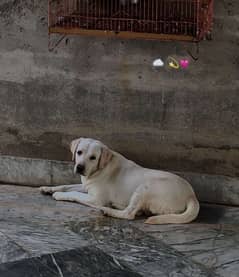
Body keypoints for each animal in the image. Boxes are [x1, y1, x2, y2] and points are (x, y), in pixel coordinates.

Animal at [40, 137, 200, 223]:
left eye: (93, 157)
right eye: (79, 152)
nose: (80, 167)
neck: (99, 168)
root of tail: (191, 195)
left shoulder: (96, 199)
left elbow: (74, 194)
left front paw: (59, 195)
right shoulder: (86, 186)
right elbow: (66, 185)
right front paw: (48, 188)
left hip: (145, 187)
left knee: (129, 214)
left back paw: (108, 210)